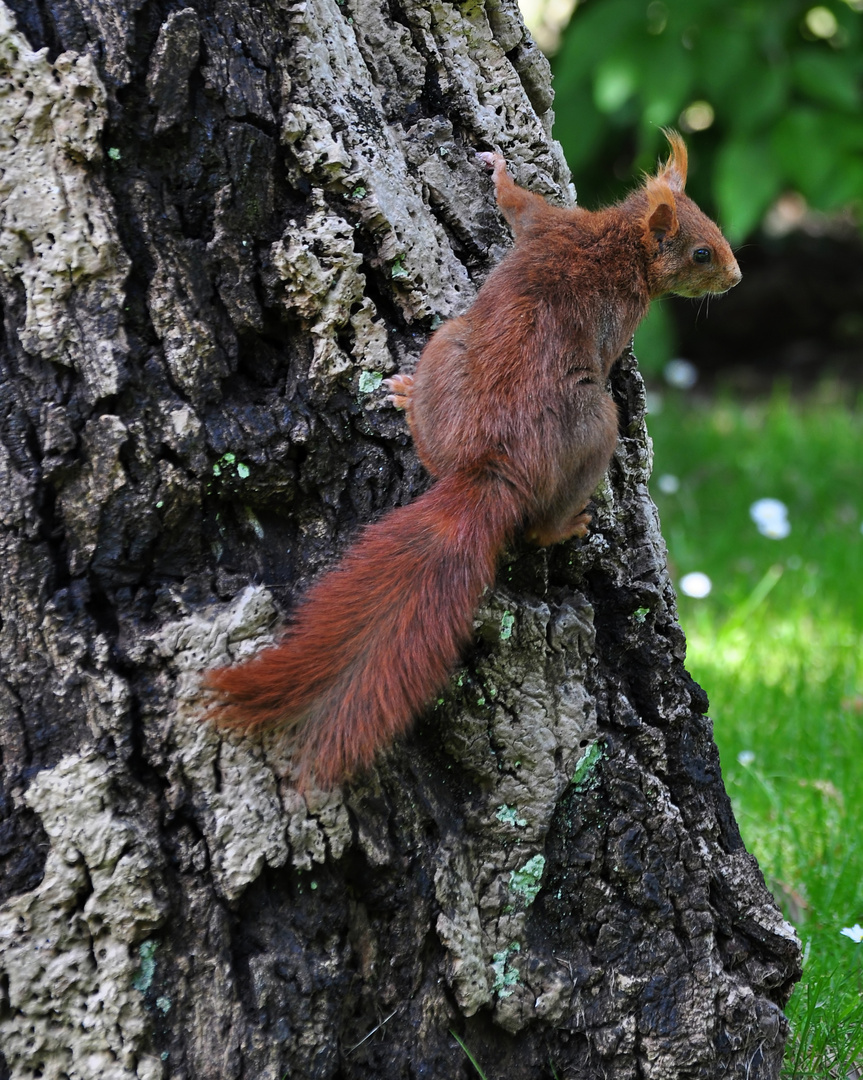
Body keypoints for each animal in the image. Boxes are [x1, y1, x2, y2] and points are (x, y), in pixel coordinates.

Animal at [204, 130, 743, 790]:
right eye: (701, 251)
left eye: (713, 230)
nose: (737, 275)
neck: (617, 241)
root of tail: (490, 468)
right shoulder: (567, 241)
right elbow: (520, 203)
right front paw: (499, 168)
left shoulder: (550, 228)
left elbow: (518, 207)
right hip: (592, 428)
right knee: (536, 527)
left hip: (450, 348)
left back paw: (409, 400)